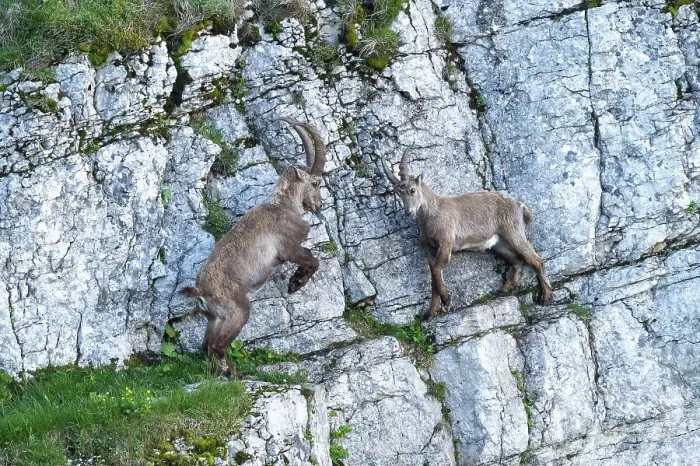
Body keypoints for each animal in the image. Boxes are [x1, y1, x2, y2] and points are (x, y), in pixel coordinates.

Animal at [180, 118, 327, 376]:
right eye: (315, 182)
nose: (319, 204)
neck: (284, 206)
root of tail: (201, 291)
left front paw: (295, 281)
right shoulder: (288, 248)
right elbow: (312, 259)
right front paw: (295, 283)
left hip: (215, 318)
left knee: (207, 346)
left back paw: (216, 374)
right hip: (237, 312)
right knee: (218, 346)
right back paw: (234, 376)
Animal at [382, 152, 553, 318]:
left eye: (412, 190)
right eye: (398, 193)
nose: (409, 212)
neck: (433, 213)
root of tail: (519, 205)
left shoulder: (446, 242)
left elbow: (437, 270)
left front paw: (446, 299)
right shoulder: (429, 248)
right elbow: (433, 277)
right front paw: (431, 312)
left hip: (513, 232)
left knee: (535, 260)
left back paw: (546, 296)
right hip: (498, 243)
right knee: (517, 259)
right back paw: (505, 289)